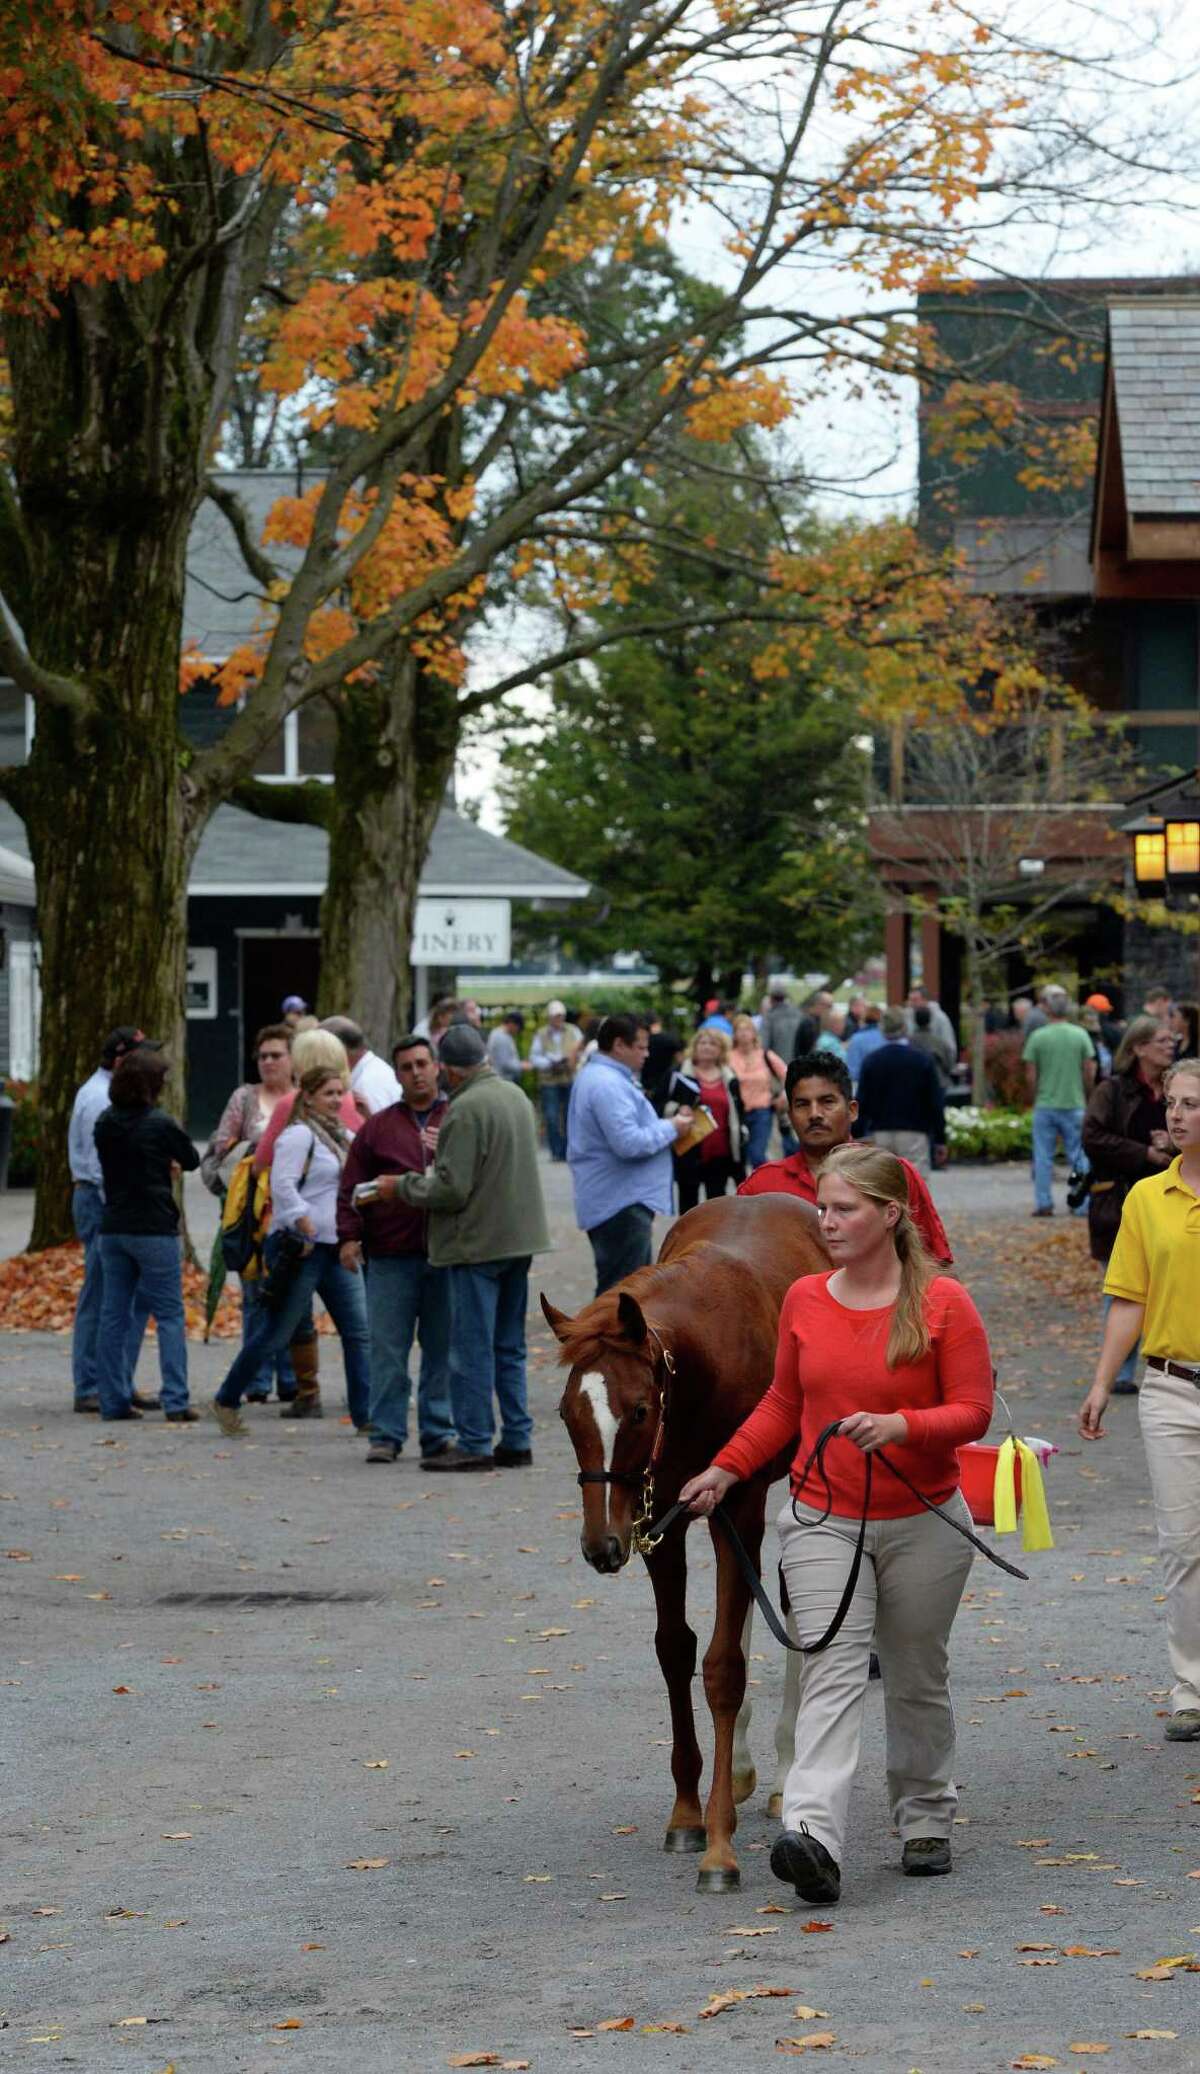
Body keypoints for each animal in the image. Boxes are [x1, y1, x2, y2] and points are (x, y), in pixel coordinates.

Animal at [543, 1194, 824, 1891]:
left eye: (639, 1410)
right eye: (567, 1413)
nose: (600, 1545)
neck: (703, 1363)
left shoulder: (736, 1505)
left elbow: (723, 1667)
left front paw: (719, 1845)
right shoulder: (656, 1518)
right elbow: (676, 1649)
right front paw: (687, 1814)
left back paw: (783, 1773)